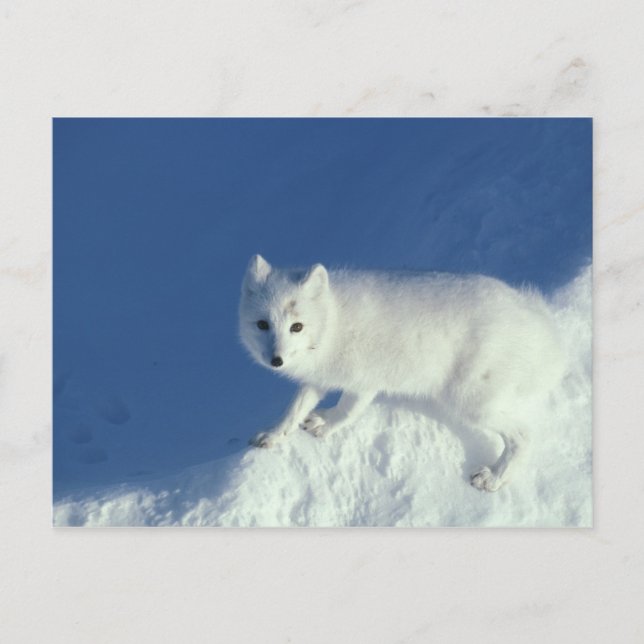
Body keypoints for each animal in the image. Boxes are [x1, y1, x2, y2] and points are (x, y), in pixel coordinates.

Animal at [239, 254, 566, 492]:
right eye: (262, 324)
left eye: (297, 326)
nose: (276, 360)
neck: (333, 322)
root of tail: (533, 319)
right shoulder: (319, 378)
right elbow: (294, 410)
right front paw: (273, 435)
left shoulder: (364, 381)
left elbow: (348, 411)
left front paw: (326, 425)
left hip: (469, 400)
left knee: (523, 435)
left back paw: (494, 478)